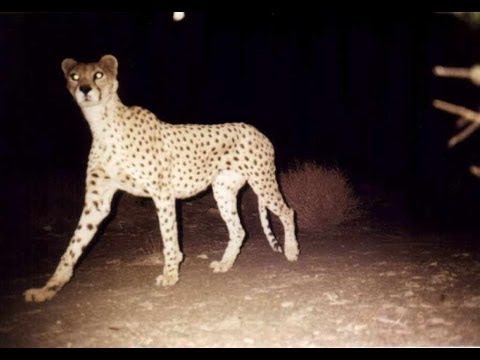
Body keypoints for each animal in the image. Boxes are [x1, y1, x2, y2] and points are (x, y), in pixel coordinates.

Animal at [25, 54, 300, 302]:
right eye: (74, 76)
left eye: (98, 75)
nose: (85, 89)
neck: (102, 123)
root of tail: (257, 130)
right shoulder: (97, 203)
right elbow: (73, 246)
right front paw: (48, 288)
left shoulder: (163, 194)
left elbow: (168, 236)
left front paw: (170, 274)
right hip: (223, 190)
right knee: (239, 229)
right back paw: (225, 264)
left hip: (262, 182)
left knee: (287, 212)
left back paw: (291, 251)